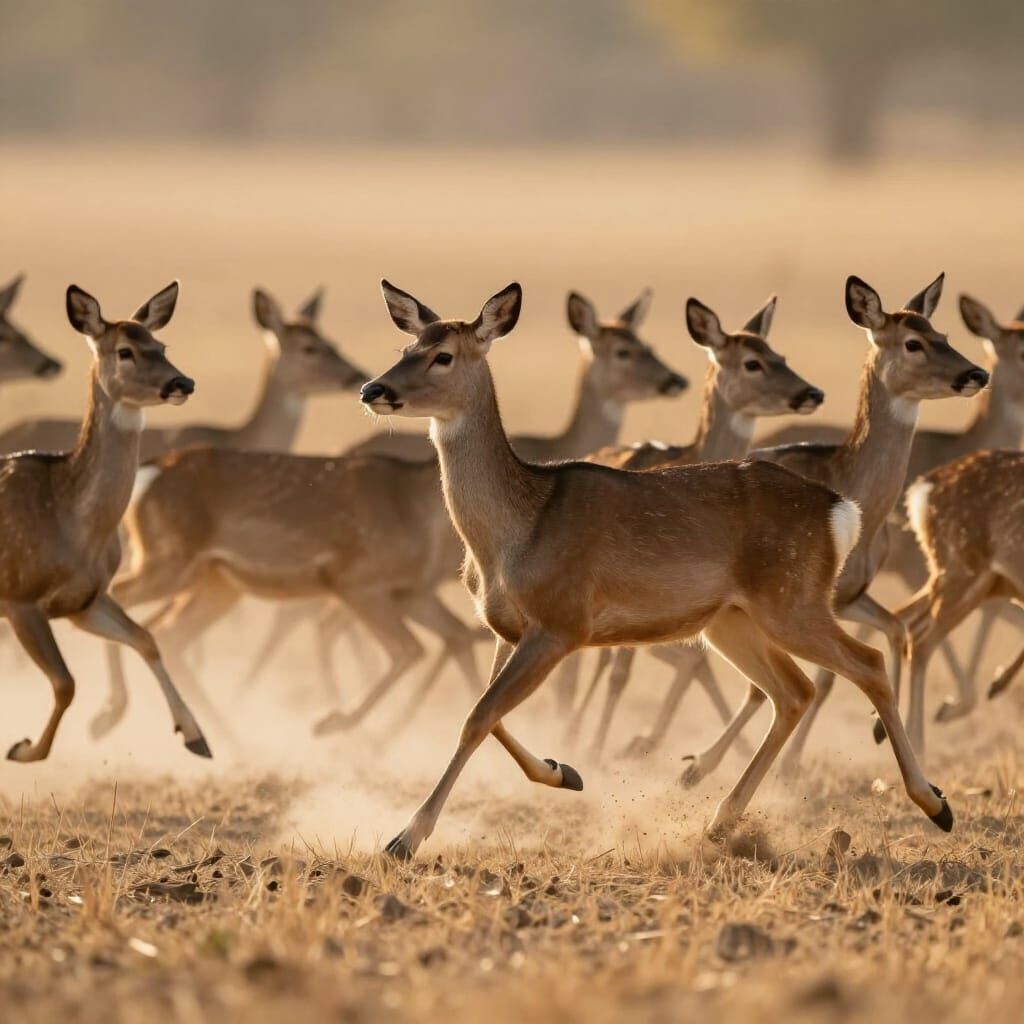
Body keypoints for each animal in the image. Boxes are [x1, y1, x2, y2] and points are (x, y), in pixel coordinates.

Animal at [0, 281, 209, 762]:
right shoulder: (20, 597)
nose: (182, 382)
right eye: (125, 351)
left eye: (161, 345)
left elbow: (146, 638)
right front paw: (22, 748)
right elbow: (66, 684)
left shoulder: (85, 600)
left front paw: (196, 737)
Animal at [569, 294, 825, 757]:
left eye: (780, 355)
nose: (810, 393)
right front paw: (600, 749)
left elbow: (691, 659)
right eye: (752, 362)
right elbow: (626, 670)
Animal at [671, 274, 988, 786]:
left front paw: (878, 729)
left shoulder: (850, 595)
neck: (856, 495)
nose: (976, 374)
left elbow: (892, 631)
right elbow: (800, 682)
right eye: (913, 342)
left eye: (944, 334)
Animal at [898, 449, 1024, 754]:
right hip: (963, 570)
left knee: (903, 616)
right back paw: (917, 743)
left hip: (975, 579)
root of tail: (921, 492)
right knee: (920, 639)